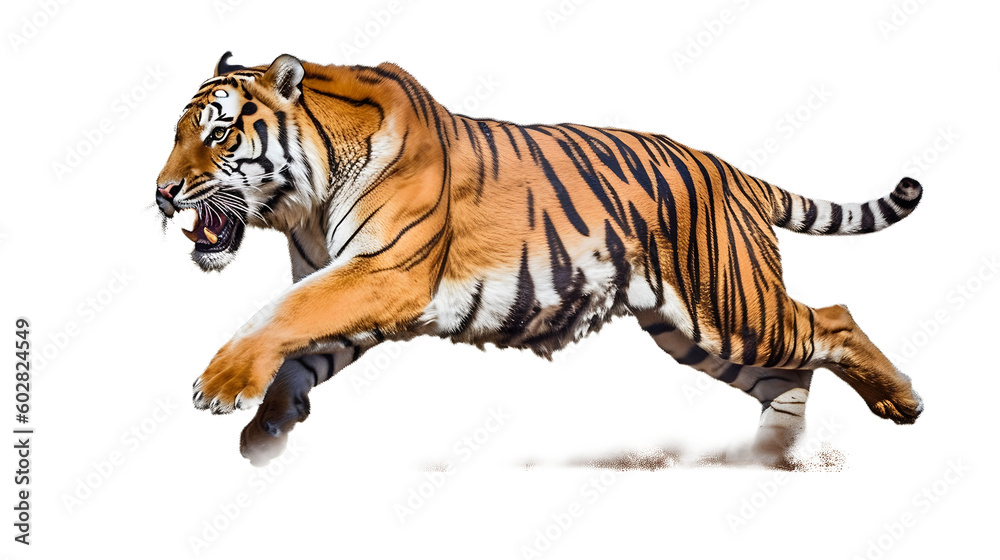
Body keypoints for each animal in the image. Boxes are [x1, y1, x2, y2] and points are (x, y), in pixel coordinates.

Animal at [155, 52, 923, 466]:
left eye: (219, 134)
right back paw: (768, 457)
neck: (305, 201)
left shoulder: (384, 273)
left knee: (832, 319)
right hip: (694, 331)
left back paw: (902, 401)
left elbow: (278, 314)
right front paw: (267, 430)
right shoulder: (353, 286)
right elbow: (297, 343)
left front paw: (221, 386)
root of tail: (732, 171)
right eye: (177, 134)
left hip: (731, 305)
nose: (161, 193)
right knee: (788, 375)